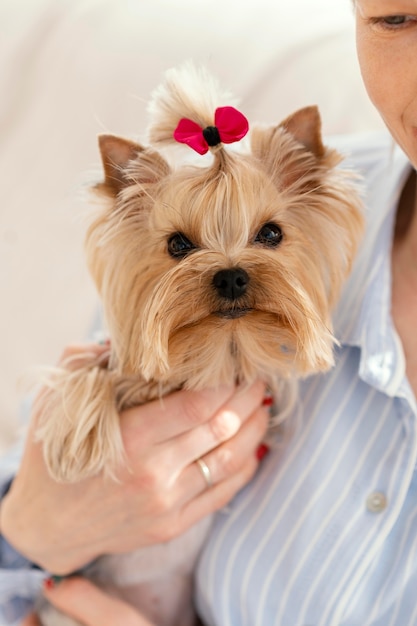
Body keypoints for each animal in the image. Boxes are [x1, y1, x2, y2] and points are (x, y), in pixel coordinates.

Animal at [35, 64, 360, 624]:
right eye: (178, 245)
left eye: (271, 233)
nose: (230, 276)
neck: (219, 347)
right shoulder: (110, 351)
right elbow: (90, 369)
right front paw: (75, 445)